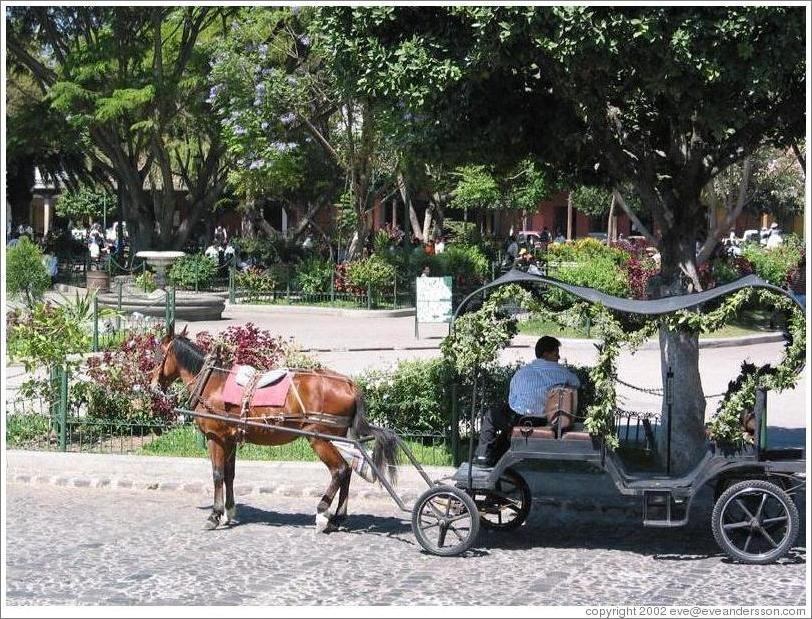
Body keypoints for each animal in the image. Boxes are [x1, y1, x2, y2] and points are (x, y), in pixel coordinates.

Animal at [151, 324, 398, 532]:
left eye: (157, 354)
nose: (153, 384)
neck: (212, 382)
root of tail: (349, 384)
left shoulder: (216, 438)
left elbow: (217, 474)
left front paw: (214, 515)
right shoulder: (230, 440)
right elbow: (230, 475)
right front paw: (229, 512)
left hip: (319, 438)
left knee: (340, 470)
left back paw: (322, 513)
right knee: (347, 472)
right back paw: (337, 517)